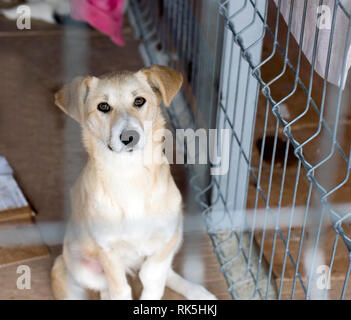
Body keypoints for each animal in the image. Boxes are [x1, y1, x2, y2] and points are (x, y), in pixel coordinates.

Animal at [50, 65, 217, 300]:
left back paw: (197, 291)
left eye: (139, 101)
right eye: (103, 106)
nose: (129, 136)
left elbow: (153, 274)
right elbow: (121, 289)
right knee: (104, 287)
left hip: (179, 231)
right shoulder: (107, 250)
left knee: (166, 272)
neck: (130, 175)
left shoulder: (169, 236)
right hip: (75, 266)